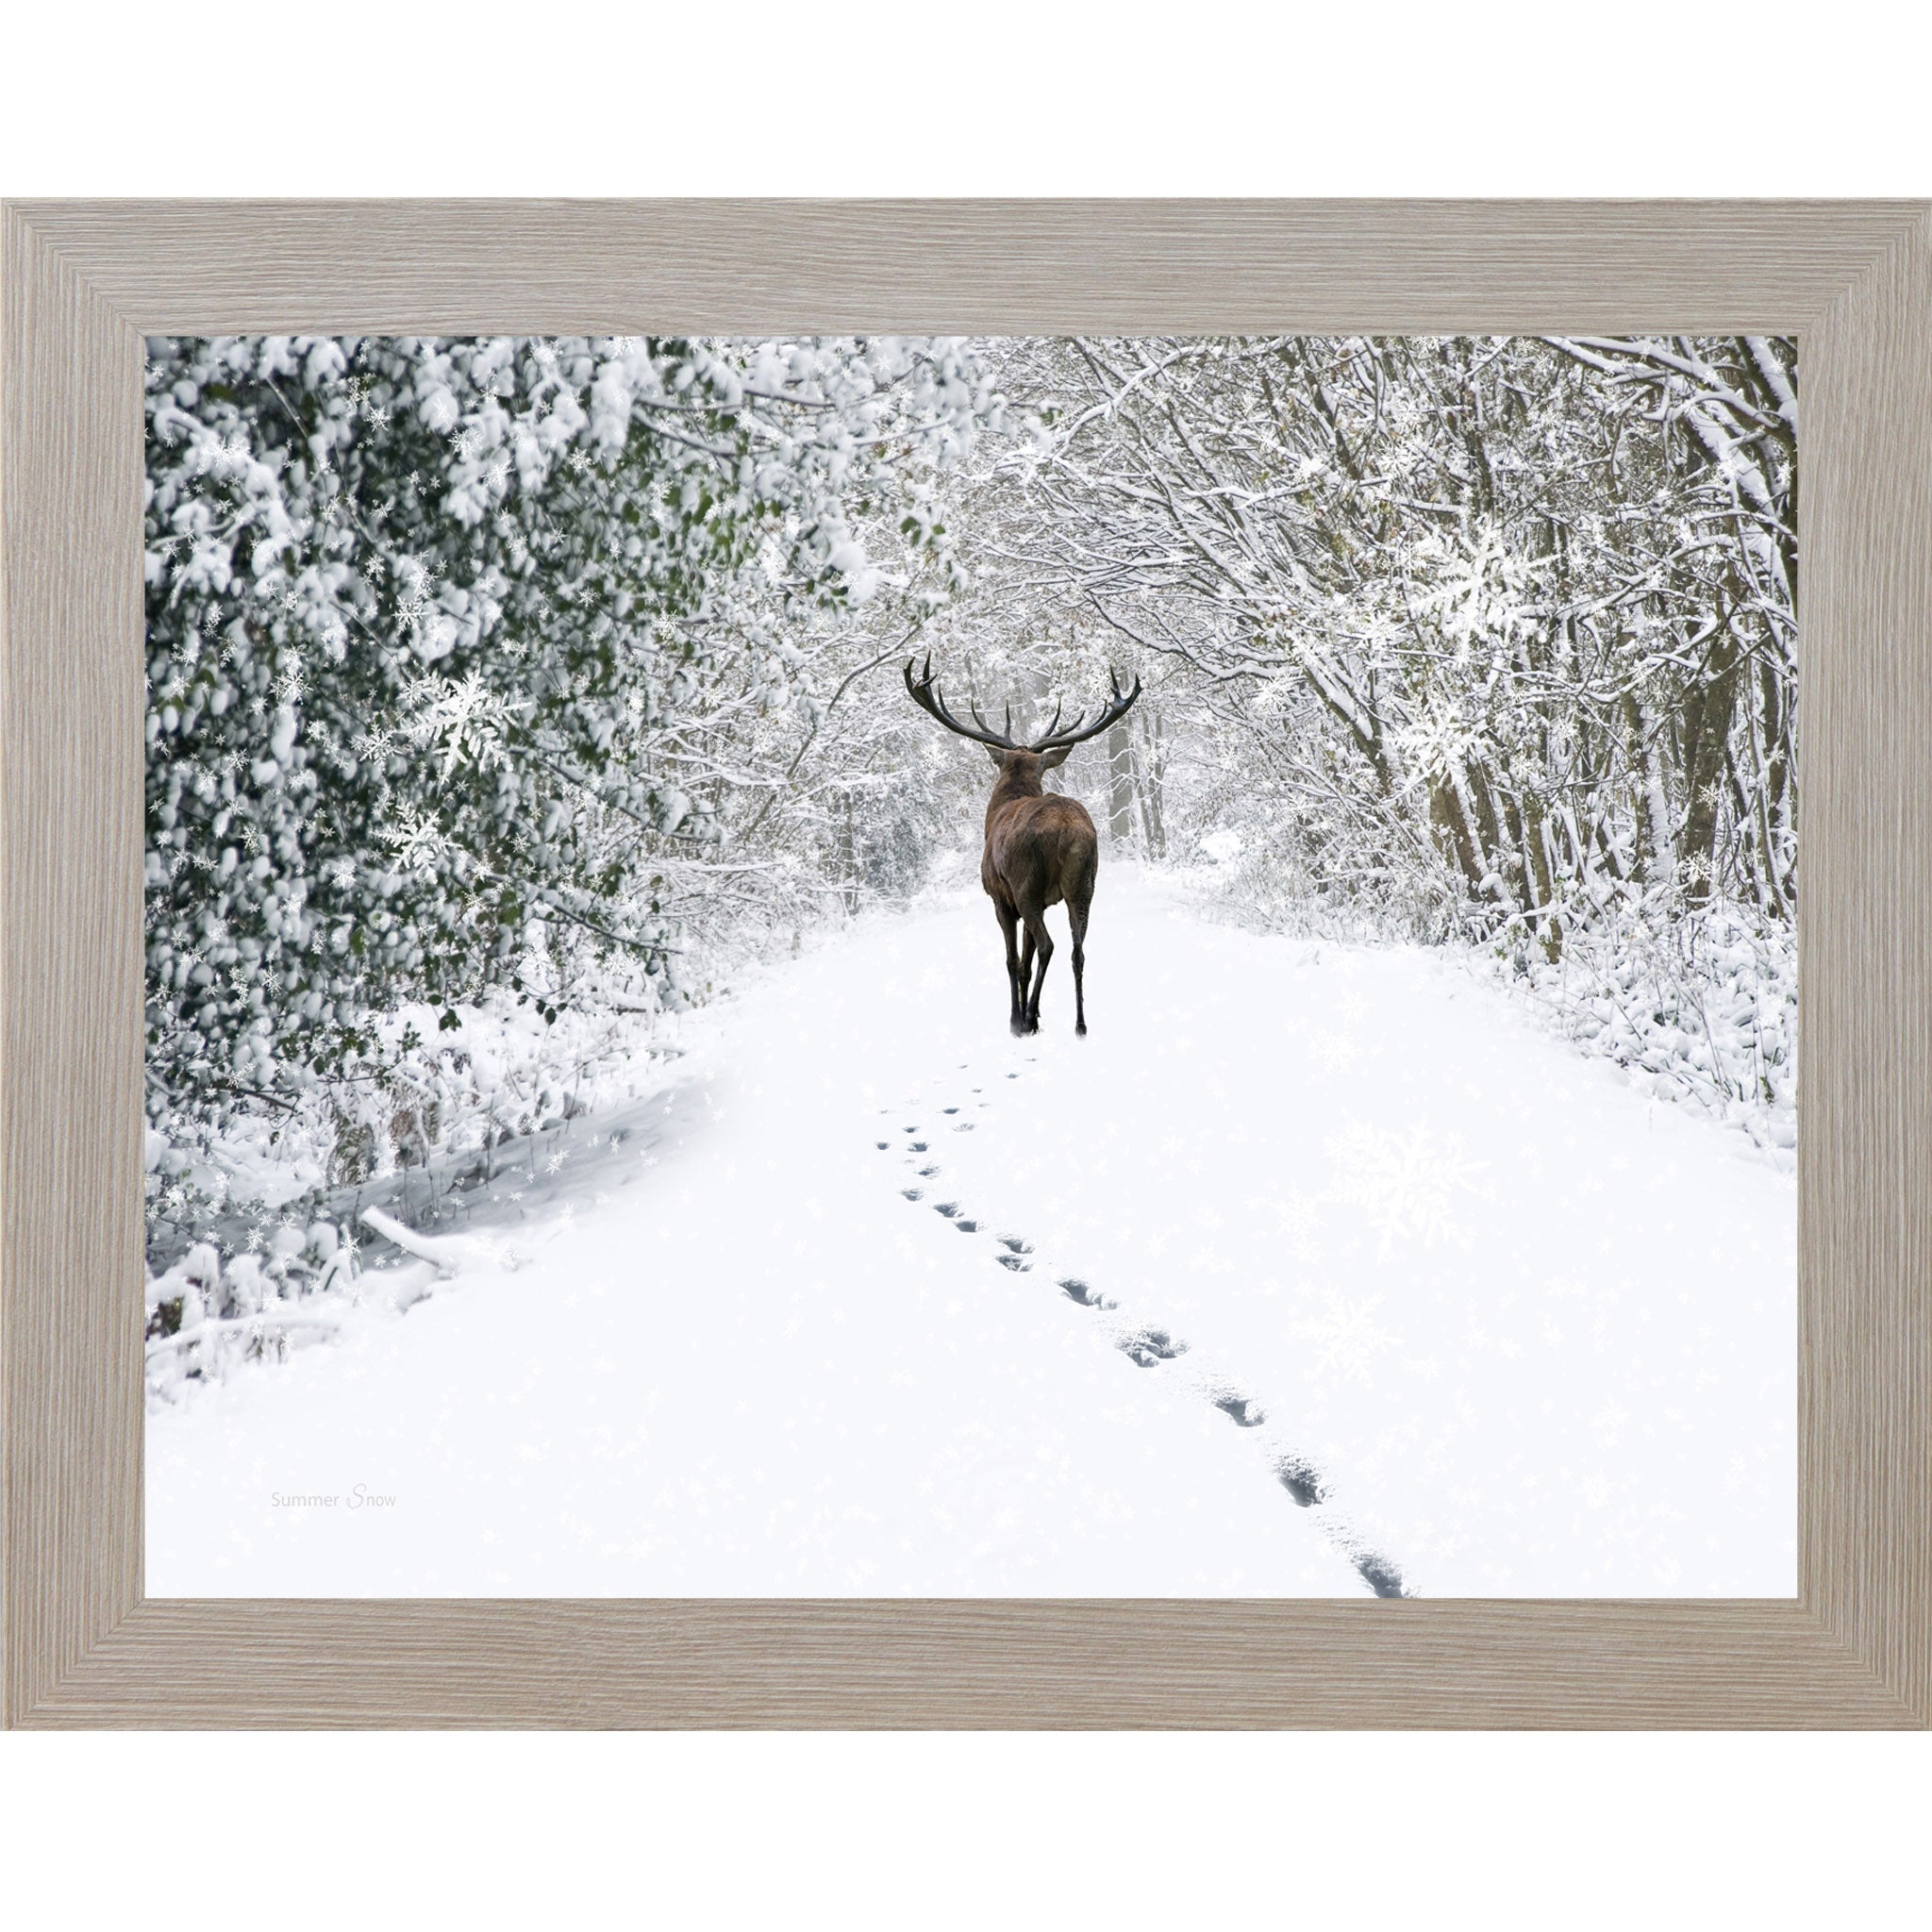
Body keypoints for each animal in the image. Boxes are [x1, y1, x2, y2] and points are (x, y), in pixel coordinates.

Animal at [903, 655, 1143, 1037]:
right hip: (1084, 884)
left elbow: (1013, 959)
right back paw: (1079, 1024)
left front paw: (1016, 1018)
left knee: (1048, 945)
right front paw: (1037, 1013)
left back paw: (1027, 1018)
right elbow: (1026, 963)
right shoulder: (1045, 900)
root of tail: (1067, 831)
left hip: (1026, 883)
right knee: (1078, 949)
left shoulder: (1000, 897)